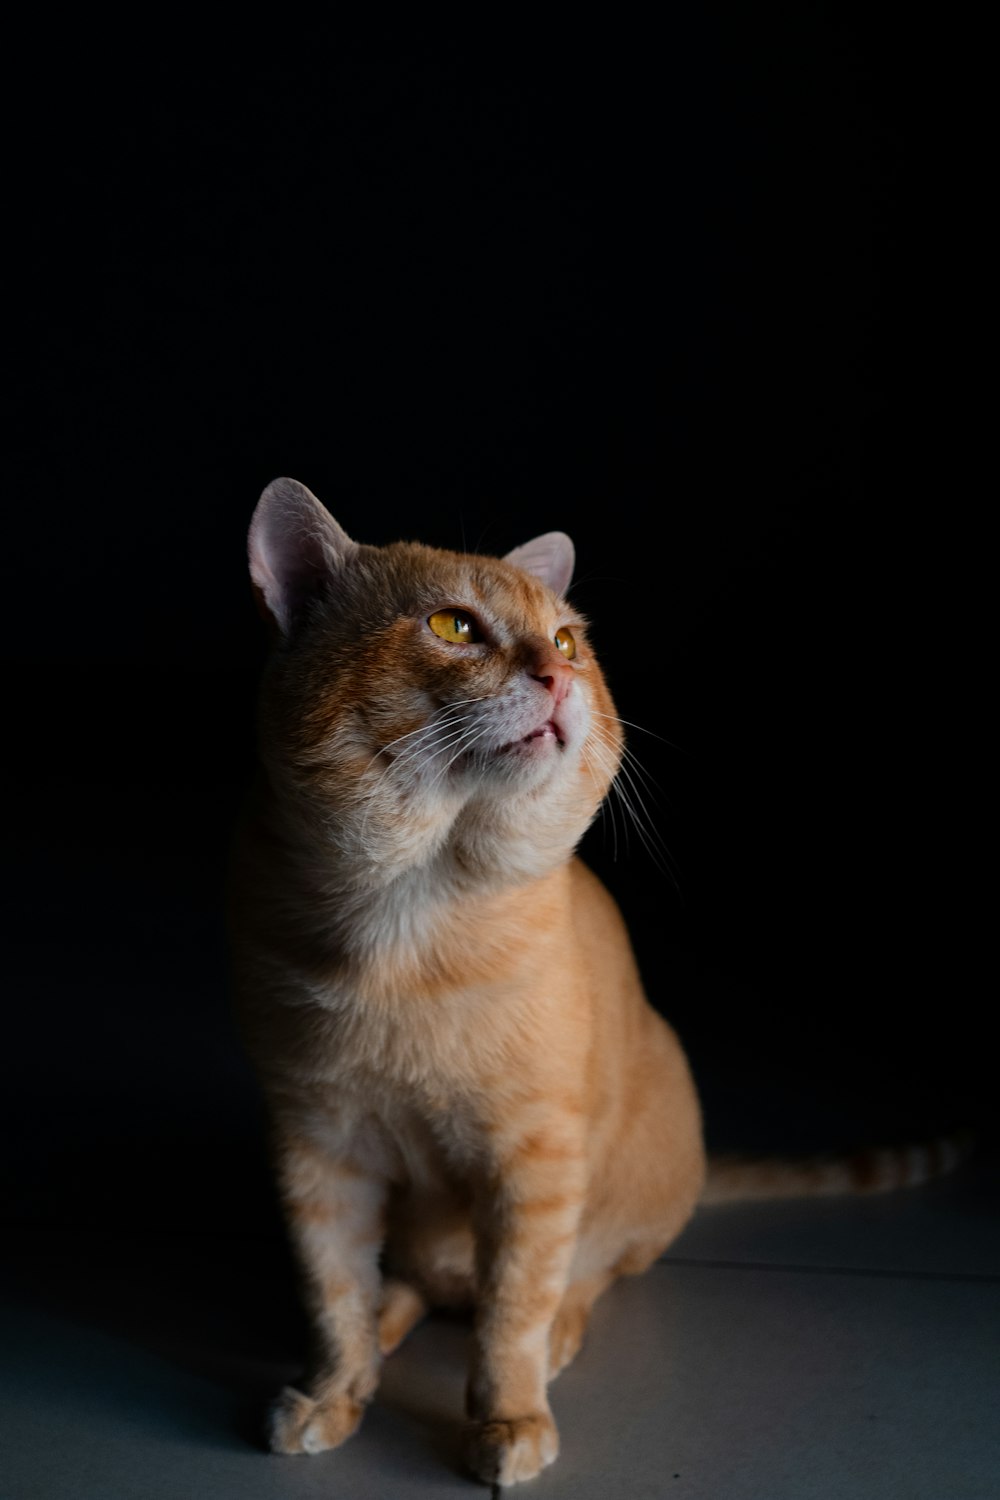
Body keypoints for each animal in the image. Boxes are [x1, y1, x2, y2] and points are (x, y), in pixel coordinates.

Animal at [226, 480, 971, 1488]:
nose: (558, 677)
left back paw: (555, 1342)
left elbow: (511, 1311)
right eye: (455, 626)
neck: (407, 930)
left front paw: (507, 1420)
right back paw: (381, 1344)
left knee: (578, 1277)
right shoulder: (317, 1149)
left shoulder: (534, 1162)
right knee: (410, 1285)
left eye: (569, 641)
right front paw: (333, 1391)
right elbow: (334, 1293)